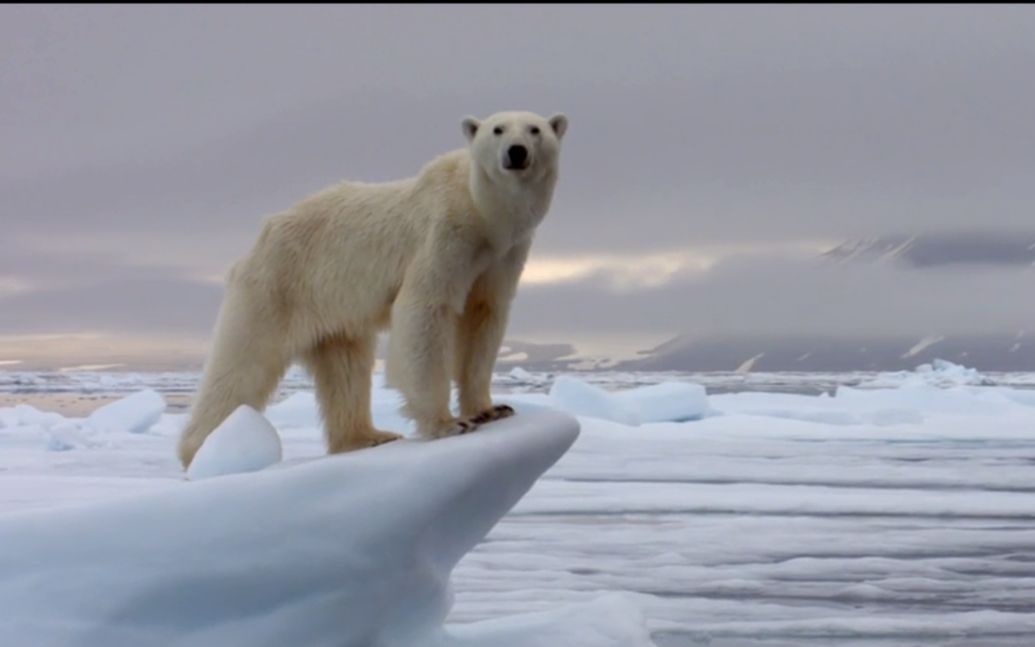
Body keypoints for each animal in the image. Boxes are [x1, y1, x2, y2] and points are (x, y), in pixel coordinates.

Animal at [175, 109, 567, 463]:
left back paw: (367, 436)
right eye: (497, 129)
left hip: (331, 309)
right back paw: (205, 449)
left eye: (535, 129)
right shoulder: (445, 235)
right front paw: (447, 423)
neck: (482, 213)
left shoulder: (503, 255)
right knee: (243, 362)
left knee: (347, 369)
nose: (516, 151)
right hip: (277, 285)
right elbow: (425, 309)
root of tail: (261, 236)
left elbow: (483, 318)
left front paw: (491, 409)